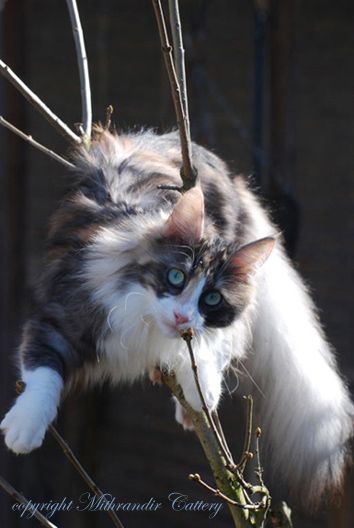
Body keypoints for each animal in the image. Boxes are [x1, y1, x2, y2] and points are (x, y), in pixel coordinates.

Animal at [0, 127, 354, 508]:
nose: (182, 316)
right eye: (176, 277)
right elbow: (43, 376)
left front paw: (201, 393)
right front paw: (24, 427)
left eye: (211, 299)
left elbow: (208, 352)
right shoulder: (61, 316)